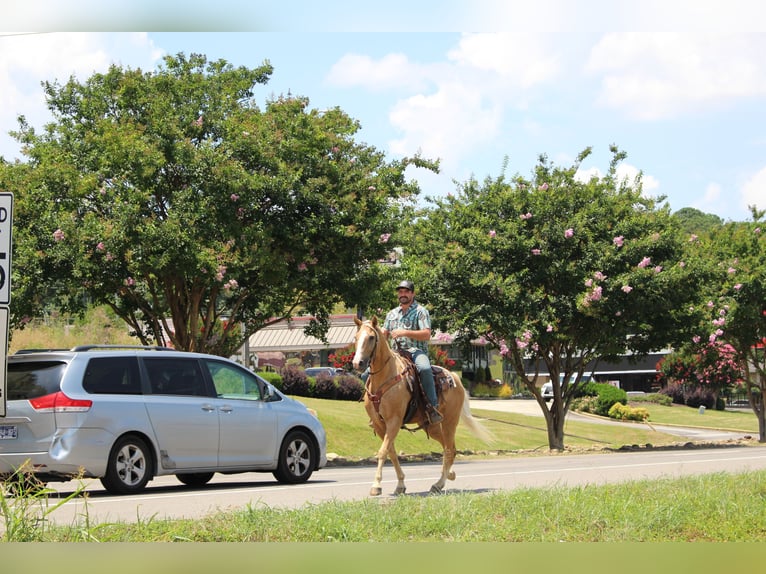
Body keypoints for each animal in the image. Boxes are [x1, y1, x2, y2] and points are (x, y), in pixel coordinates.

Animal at [352, 316, 494, 496]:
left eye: (371, 337)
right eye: (356, 338)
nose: (358, 363)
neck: (385, 376)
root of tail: (454, 376)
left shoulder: (394, 421)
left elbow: (383, 452)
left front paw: (376, 485)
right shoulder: (379, 423)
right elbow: (391, 452)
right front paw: (400, 485)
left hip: (450, 421)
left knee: (449, 450)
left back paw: (439, 483)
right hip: (431, 426)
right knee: (449, 448)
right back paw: (449, 475)